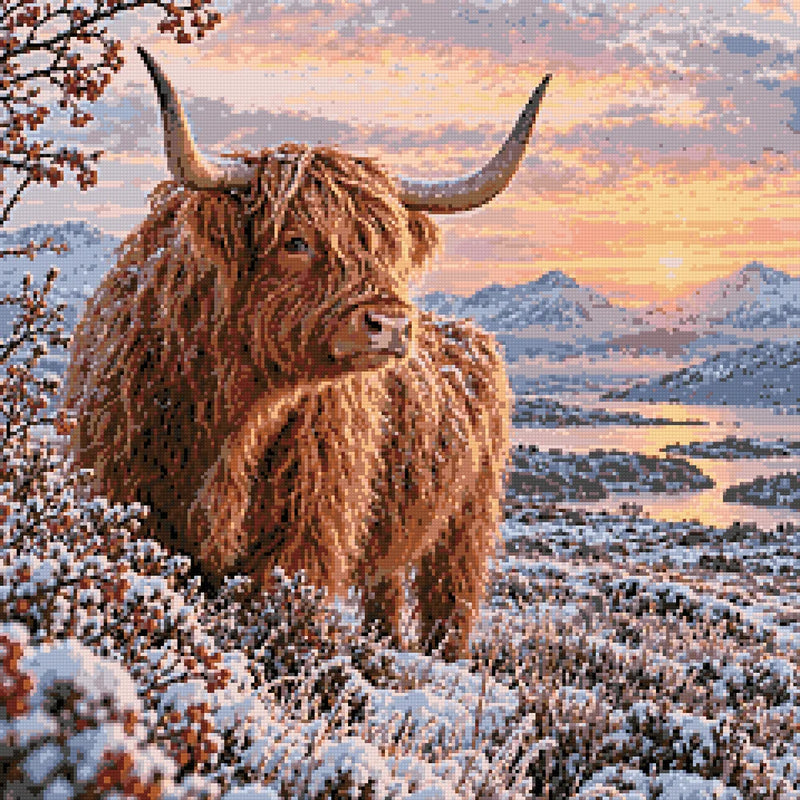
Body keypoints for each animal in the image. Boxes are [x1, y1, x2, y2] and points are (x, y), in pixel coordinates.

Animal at [65, 47, 550, 660]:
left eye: (389, 247)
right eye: (296, 241)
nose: (392, 324)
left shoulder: (302, 537)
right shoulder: (127, 501)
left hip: (467, 523)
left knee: (450, 604)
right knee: (387, 590)